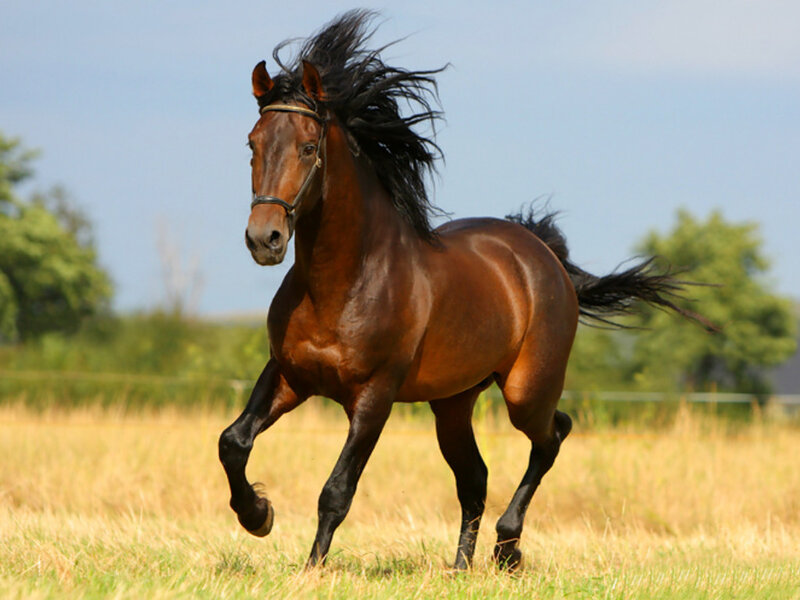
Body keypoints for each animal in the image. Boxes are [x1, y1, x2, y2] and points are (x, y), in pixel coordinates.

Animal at [218, 10, 705, 571]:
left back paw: (507, 549)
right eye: (252, 144)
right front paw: (258, 515)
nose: (265, 239)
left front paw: (311, 570)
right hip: (452, 403)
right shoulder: (290, 374)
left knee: (553, 435)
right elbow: (233, 441)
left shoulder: (374, 396)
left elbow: (336, 490)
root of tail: (542, 255)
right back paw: (461, 568)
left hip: (524, 391)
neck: (340, 284)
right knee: (475, 477)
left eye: (308, 147)